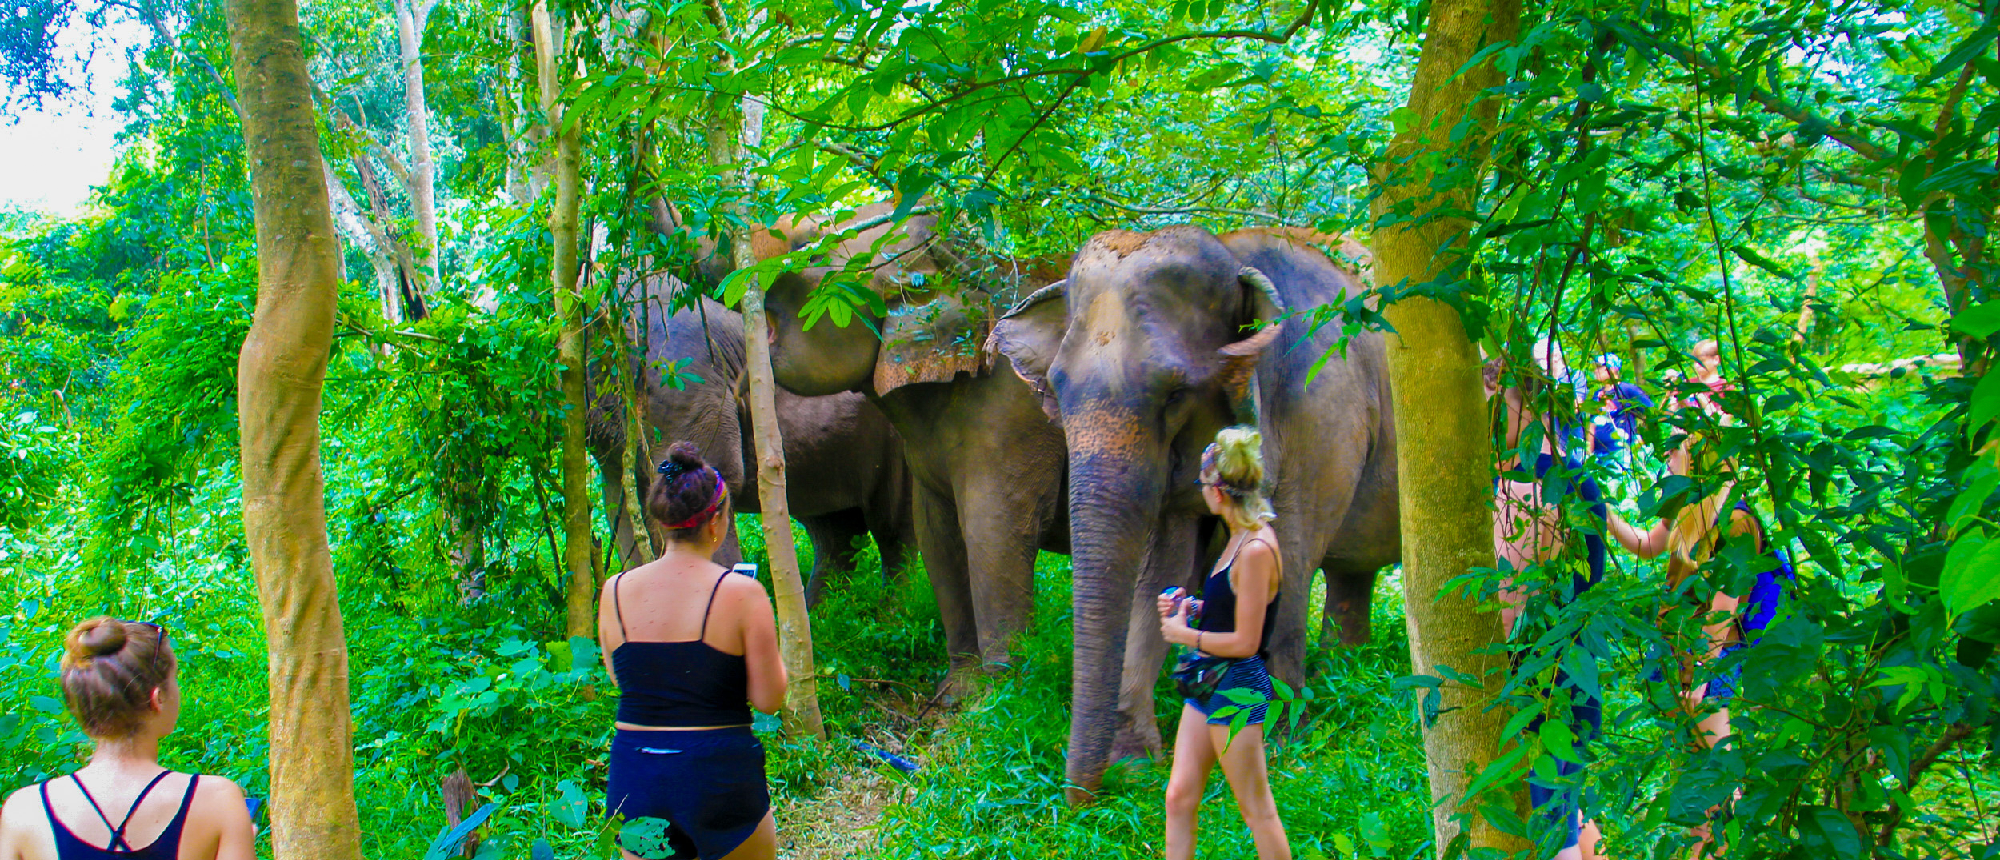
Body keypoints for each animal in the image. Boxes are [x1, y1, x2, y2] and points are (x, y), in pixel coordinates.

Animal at [758, 202, 1071, 671]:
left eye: (807, 247)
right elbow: (937, 535)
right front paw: (961, 682)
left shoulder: (1016, 419)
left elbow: (995, 533)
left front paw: (1000, 685)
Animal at [988, 225, 1400, 801]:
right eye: (1058, 386)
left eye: (1175, 392)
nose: (1078, 802)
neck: (1234, 255)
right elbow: (1165, 562)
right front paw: (1134, 762)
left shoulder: (1324, 405)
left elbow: (1290, 556)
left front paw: (1274, 744)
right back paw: (1345, 668)